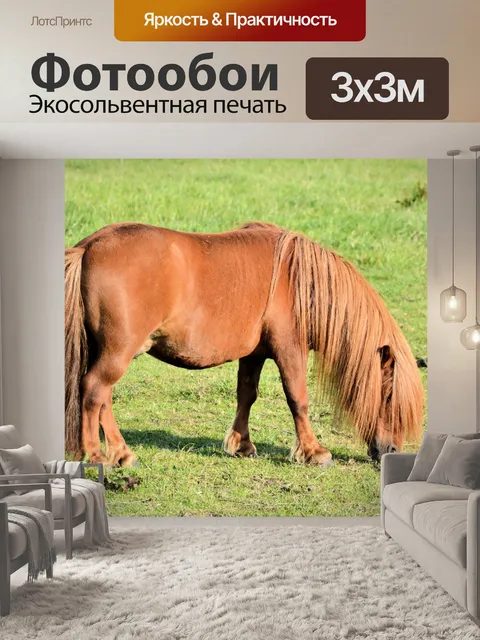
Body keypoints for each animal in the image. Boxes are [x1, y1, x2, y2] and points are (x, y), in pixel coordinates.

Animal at [65, 222, 424, 467]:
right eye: (389, 396)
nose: (392, 451)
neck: (298, 279)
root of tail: (90, 246)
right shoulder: (289, 349)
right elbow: (298, 399)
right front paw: (314, 452)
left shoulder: (255, 354)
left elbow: (246, 395)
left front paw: (242, 445)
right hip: (118, 353)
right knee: (93, 391)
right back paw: (96, 455)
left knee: (103, 399)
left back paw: (122, 454)